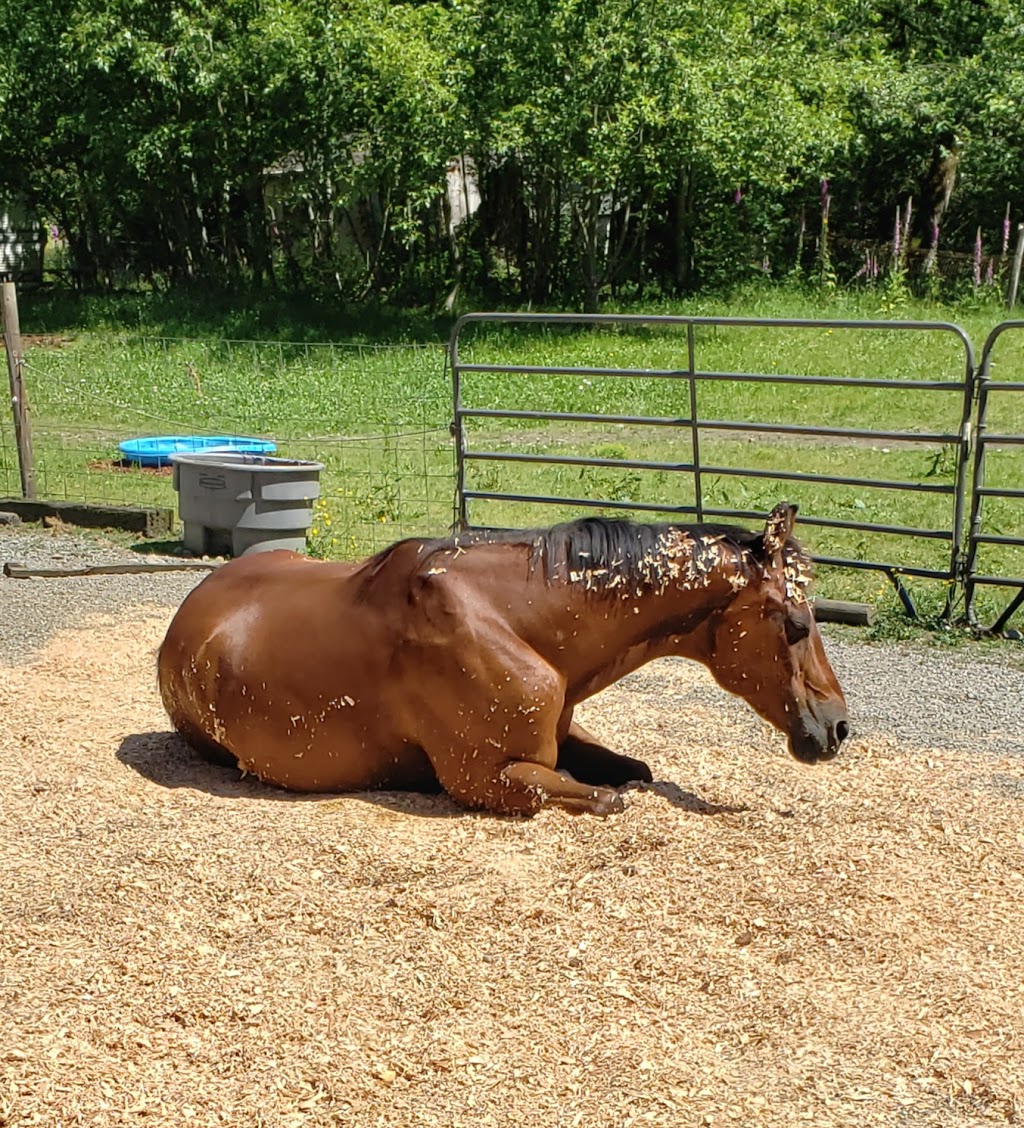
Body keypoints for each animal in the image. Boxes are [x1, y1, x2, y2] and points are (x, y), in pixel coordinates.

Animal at [157, 507, 848, 816]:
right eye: (797, 624)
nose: (838, 726)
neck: (509, 618)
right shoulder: (487, 779)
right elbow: (607, 798)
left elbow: (635, 770)